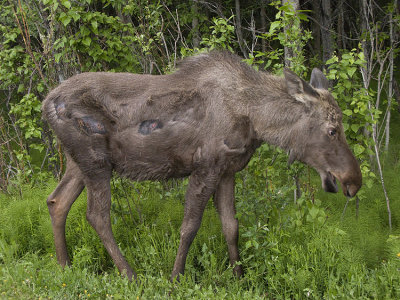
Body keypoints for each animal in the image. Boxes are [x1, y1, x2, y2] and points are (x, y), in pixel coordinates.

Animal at [41, 51, 362, 282]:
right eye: (332, 130)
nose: (353, 181)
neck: (256, 121)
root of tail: (45, 104)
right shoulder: (205, 167)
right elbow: (190, 226)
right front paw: (175, 277)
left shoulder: (227, 171)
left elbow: (231, 226)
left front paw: (239, 277)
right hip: (95, 161)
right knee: (97, 215)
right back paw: (129, 275)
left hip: (79, 163)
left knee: (57, 201)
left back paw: (64, 267)